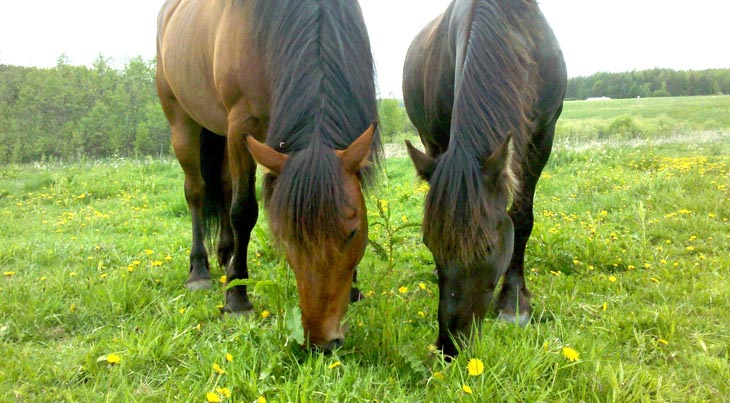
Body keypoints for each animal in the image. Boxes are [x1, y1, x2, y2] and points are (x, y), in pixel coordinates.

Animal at [156, 0, 378, 350]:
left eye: (353, 233)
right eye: (284, 235)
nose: (321, 341)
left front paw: (354, 288)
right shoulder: (240, 125)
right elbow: (243, 211)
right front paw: (236, 299)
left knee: (223, 185)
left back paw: (227, 255)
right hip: (182, 122)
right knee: (196, 192)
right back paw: (200, 270)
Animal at [400, 0, 564, 356]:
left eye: (488, 246)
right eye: (428, 244)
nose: (449, 346)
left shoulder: (543, 137)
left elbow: (522, 217)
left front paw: (513, 303)